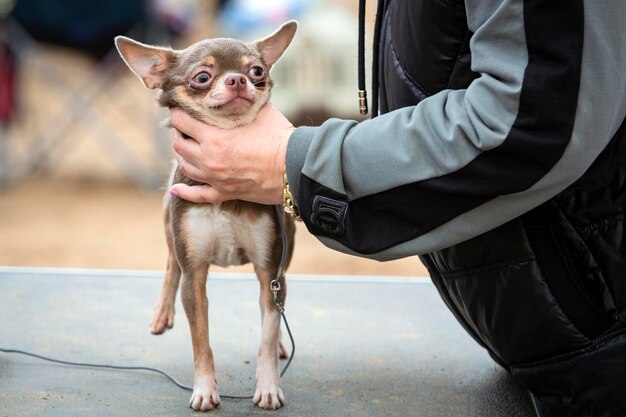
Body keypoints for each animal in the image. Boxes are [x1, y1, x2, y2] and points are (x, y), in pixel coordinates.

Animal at [115, 20, 298, 410]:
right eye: (202, 76)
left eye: (257, 71)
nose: (238, 80)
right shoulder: (194, 274)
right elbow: (201, 339)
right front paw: (204, 388)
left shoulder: (269, 270)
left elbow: (267, 330)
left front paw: (269, 386)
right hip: (170, 222)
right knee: (171, 263)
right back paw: (162, 312)